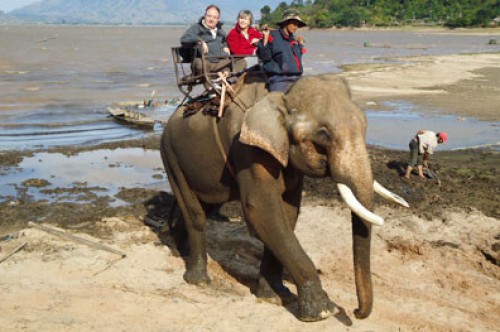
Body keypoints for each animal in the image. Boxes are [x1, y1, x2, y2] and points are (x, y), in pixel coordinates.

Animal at [161, 72, 410, 322]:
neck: (284, 94)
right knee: (195, 213)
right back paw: (199, 281)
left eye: (365, 124)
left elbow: (288, 212)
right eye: (323, 133)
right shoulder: (248, 150)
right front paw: (323, 311)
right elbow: (262, 209)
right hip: (171, 156)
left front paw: (275, 295)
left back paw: (180, 250)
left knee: (208, 205)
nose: (356, 312)